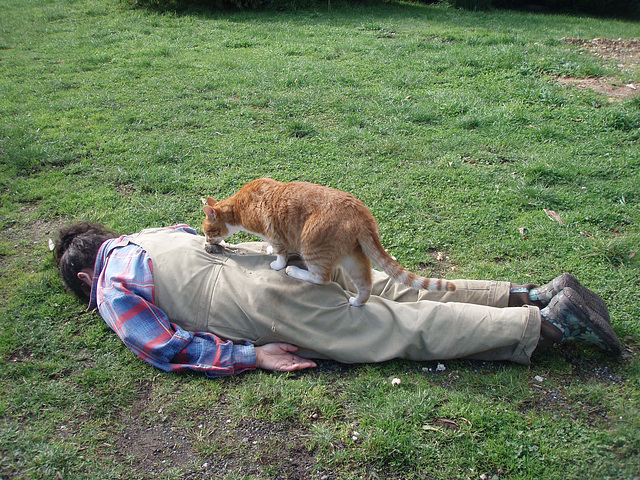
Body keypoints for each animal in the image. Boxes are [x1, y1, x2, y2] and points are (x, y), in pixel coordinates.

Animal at [201, 177, 456, 308]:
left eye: (207, 231)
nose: (205, 240)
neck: (238, 207)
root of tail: (361, 214)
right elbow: (277, 247)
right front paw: (271, 250)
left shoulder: (273, 229)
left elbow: (281, 253)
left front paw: (278, 263)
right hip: (354, 257)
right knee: (365, 285)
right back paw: (356, 302)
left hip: (311, 245)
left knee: (320, 278)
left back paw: (295, 271)